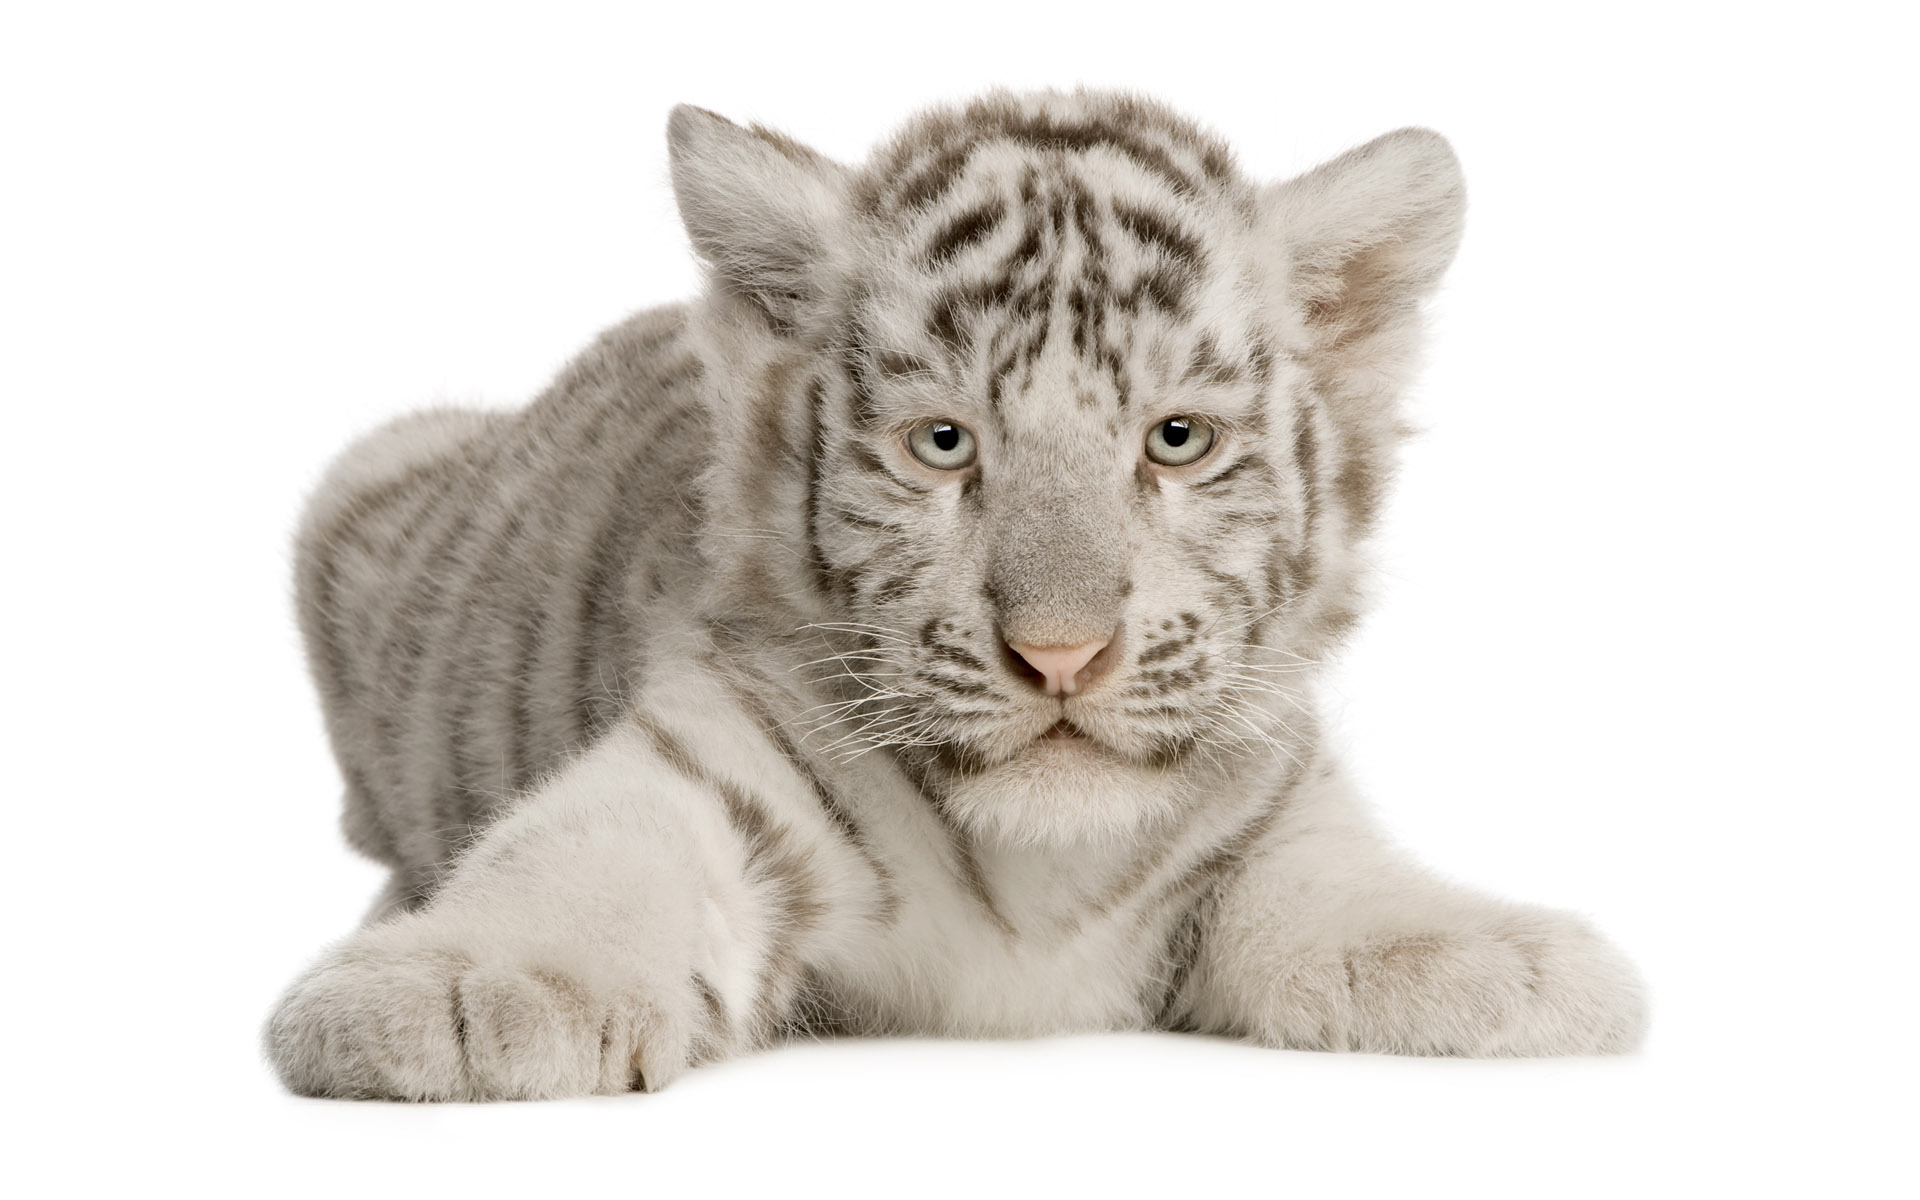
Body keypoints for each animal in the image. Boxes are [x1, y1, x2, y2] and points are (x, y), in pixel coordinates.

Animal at [265, 89, 1647, 1101]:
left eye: (1177, 440)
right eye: (943, 444)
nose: (1061, 656)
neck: (1039, 870)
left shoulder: (1269, 796)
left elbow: (1336, 880)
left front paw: (1514, 965)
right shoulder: (716, 747)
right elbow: (595, 850)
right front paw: (459, 991)